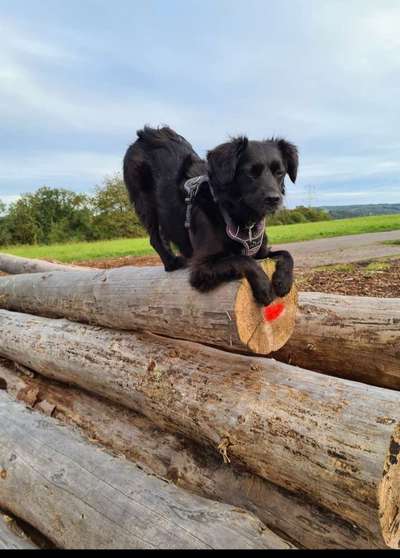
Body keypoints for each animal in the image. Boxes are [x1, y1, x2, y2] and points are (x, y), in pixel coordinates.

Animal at [123, 127, 298, 306]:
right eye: (251, 173)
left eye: (279, 172)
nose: (274, 199)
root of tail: (146, 133)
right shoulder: (201, 268)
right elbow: (241, 260)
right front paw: (264, 287)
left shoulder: (260, 254)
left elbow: (286, 254)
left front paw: (283, 281)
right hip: (145, 204)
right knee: (155, 238)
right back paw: (172, 263)